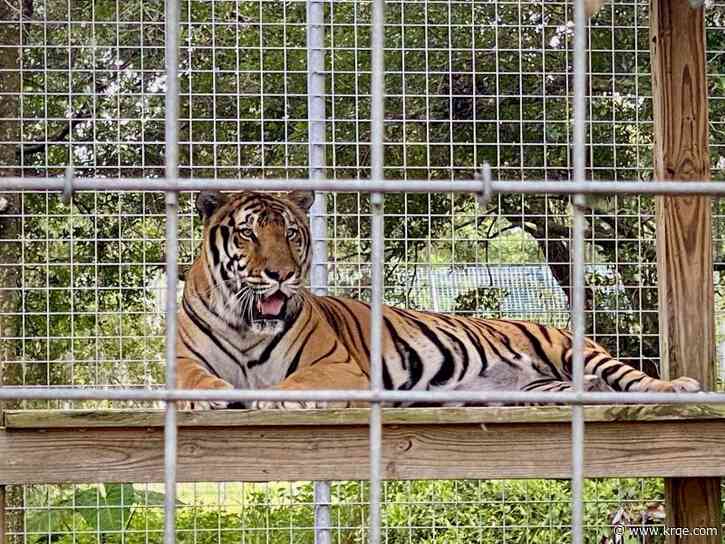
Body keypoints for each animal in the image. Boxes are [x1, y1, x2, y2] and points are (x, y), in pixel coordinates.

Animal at [176, 190, 701, 410]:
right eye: (247, 233)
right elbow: (194, 380)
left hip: (573, 349)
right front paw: (211, 396)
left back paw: (678, 387)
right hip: (536, 384)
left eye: (289, 234)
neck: (246, 325)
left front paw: (270, 398)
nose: (280, 275)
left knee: (633, 377)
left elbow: (293, 384)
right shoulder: (182, 362)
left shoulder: (338, 367)